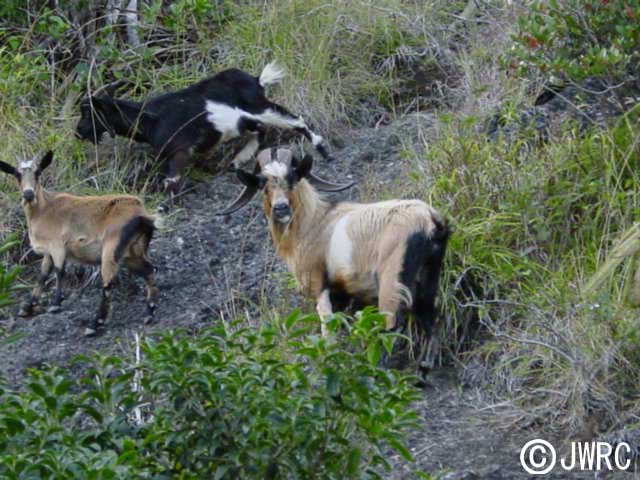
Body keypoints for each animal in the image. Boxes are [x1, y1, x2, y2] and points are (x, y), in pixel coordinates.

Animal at [0, 152, 159, 336]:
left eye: (38, 172)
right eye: (17, 174)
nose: (28, 194)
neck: (44, 209)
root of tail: (141, 215)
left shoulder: (57, 246)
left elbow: (59, 271)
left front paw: (55, 304)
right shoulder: (48, 252)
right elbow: (43, 275)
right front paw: (27, 308)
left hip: (111, 248)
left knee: (108, 282)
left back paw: (95, 324)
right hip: (133, 251)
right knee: (148, 270)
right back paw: (149, 313)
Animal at [77, 63, 332, 195]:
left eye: (89, 114)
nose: (78, 132)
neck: (152, 119)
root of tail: (255, 79)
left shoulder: (180, 150)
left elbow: (171, 181)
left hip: (259, 107)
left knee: (293, 120)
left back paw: (322, 149)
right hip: (246, 119)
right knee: (259, 131)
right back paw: (238, 160)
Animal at [220, 146, 450, 364]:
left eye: (292, 178)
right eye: (262, 184)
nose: (281, 208)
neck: (314, 221)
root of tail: (431, 219)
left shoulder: (318, 284)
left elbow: (327, 329)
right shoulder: (342, 294)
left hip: (392, 278)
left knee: (392, 326)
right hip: (429, 276)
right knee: (432, 321)